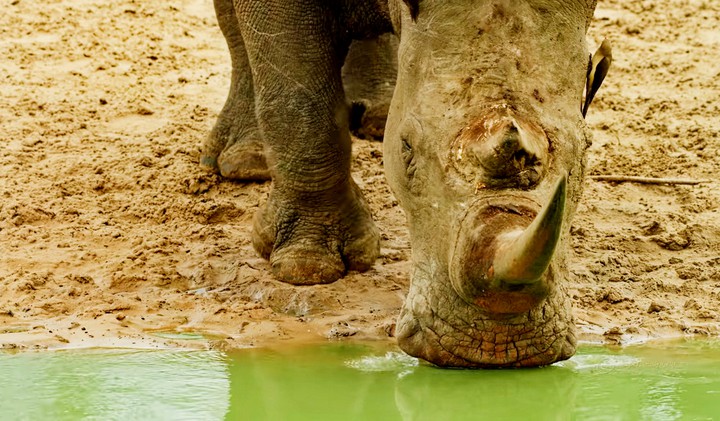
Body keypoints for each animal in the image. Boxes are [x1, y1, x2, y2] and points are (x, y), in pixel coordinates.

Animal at [200, 0, 609, 368]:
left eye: (587, 150)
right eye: (406, 149)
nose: (496, 349)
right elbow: (298, 100)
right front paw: (305, 268)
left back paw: (375, 118)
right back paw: (247, 164)